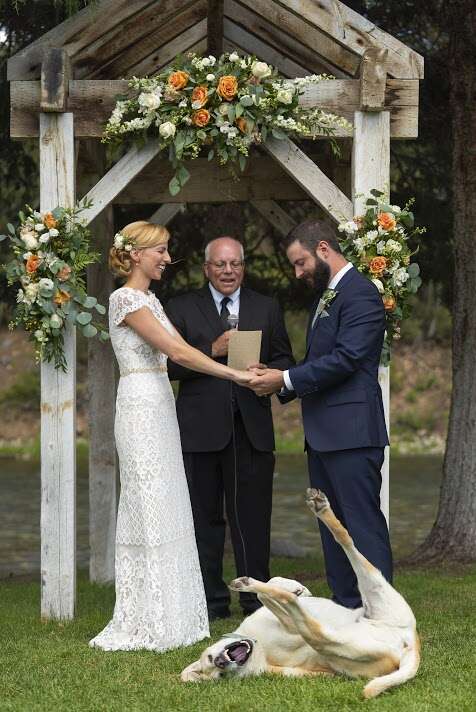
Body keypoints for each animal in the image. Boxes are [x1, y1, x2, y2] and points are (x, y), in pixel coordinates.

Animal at [180, 486, 418, 700]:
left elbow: (269, 592)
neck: (258, 645)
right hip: (343, 632)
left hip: (377, 591)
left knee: (345, 541)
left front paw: (296, 588)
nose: (220, 662)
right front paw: (287, 591)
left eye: (209, 658)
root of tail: (410, 644)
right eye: (220, 675)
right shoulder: (291, 632)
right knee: (309, 622)